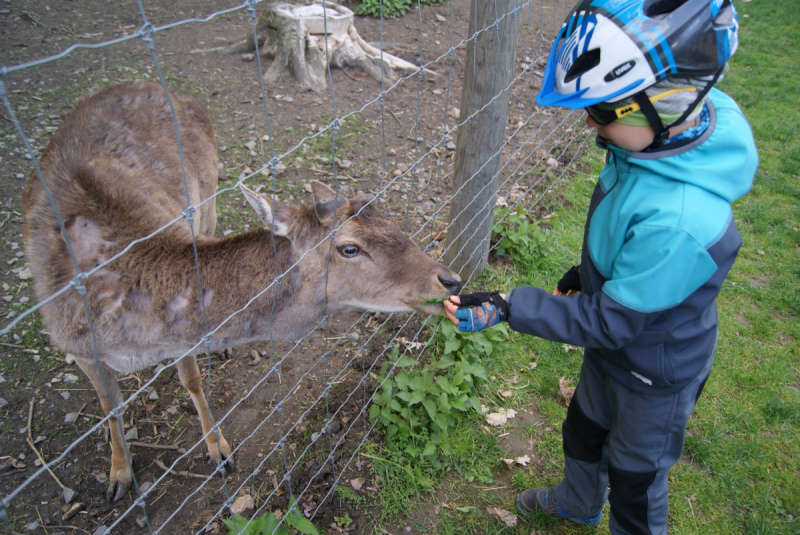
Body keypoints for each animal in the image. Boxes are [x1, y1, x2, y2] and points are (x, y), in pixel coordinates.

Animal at [21, 79, 460, 502]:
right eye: (349, 248)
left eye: (392, 221)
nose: (449, 280)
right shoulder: (74, 346)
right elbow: (110, 406)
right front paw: (118, 477)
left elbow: (191, 379)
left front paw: (217, 449)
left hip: (205, 201)